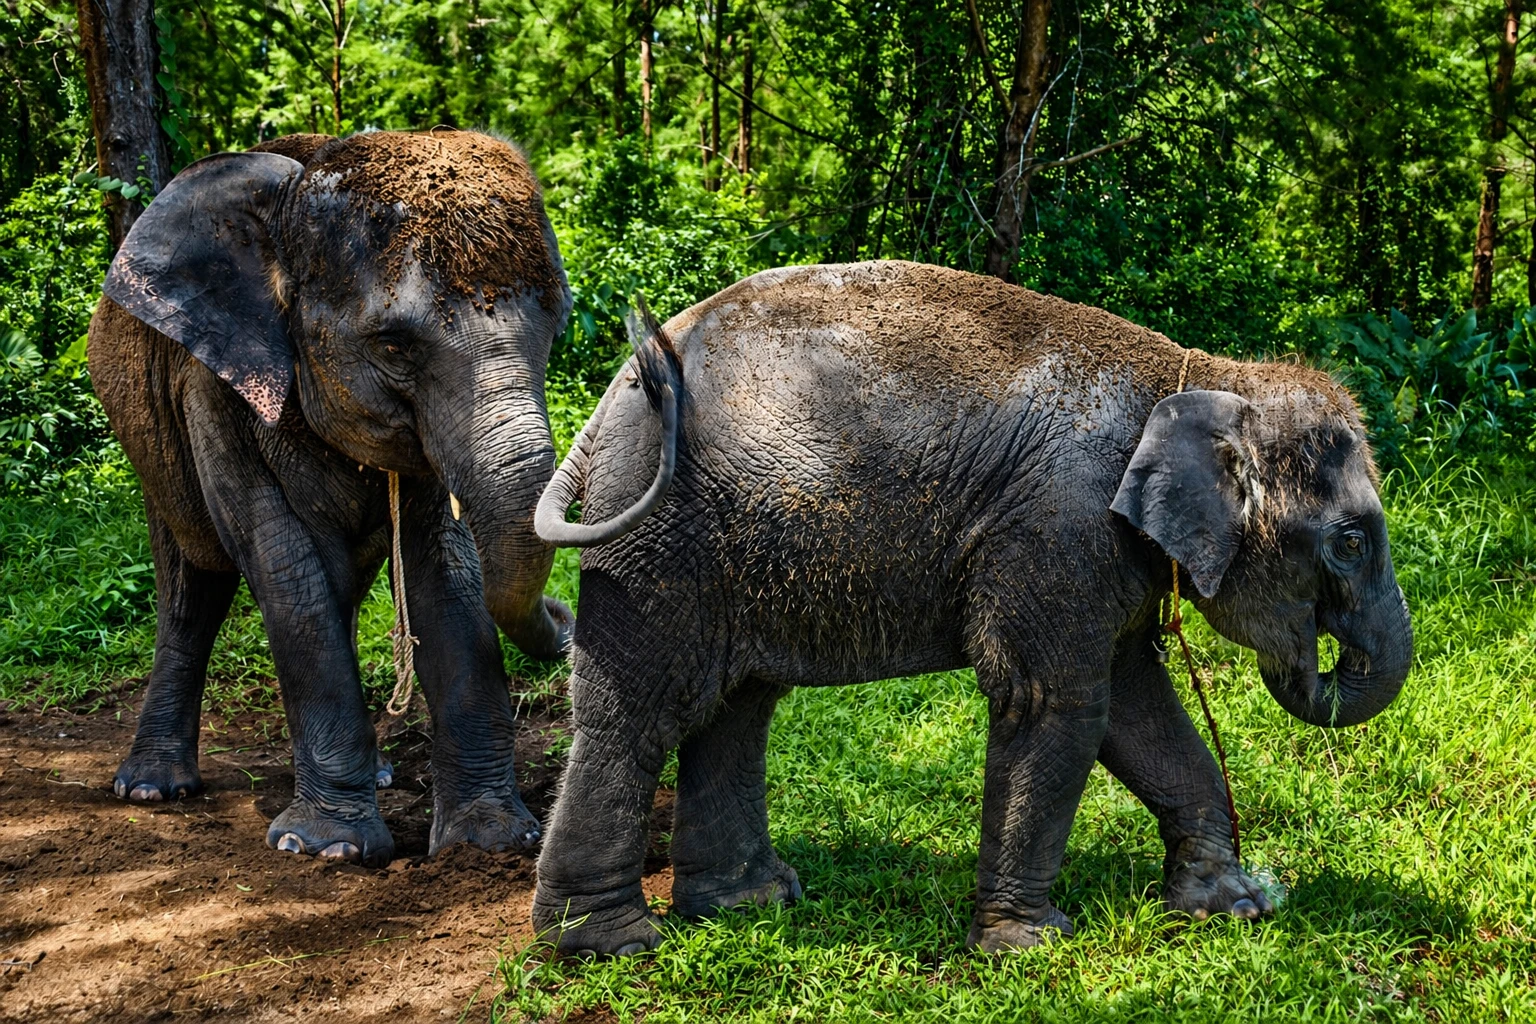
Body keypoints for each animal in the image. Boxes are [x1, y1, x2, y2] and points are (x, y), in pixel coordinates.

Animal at [88, 130, 574, 867]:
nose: (565, 611)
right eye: (394, 346)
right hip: (150, 442)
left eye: (557, 326)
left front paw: (490, 843)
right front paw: (325, 850)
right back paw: (151, 789)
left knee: (340, 583)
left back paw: (377, 774)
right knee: (196, 583)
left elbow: (445, 567)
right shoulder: (214, 384)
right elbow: (282, 561)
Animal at [528, 260, 1413, 955]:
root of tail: (613, 401)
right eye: (1350, 542)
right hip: (657, 541)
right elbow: (1054, 701)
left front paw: (1234, 907)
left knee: (737, 706)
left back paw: (750, 904)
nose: (1315, 660)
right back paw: (611, 944)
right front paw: (1028, 946)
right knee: (642, 710)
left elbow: (1134, 704)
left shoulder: (1098, 552)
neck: (1192, 376)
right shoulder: (1060, 525)